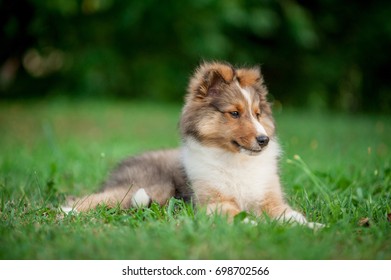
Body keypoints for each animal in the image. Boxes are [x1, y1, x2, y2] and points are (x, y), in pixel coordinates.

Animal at [63, 61, 322, 228]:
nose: (264, 140)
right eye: (234, 113)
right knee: (86, 200)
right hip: (149, 187)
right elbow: (240, 216)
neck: (236, 160)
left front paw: (315, 227)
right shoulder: (214, 202)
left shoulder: (270, 200)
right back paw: (66, 215)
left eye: (258, 114)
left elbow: (293, 216)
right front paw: (257, 224)